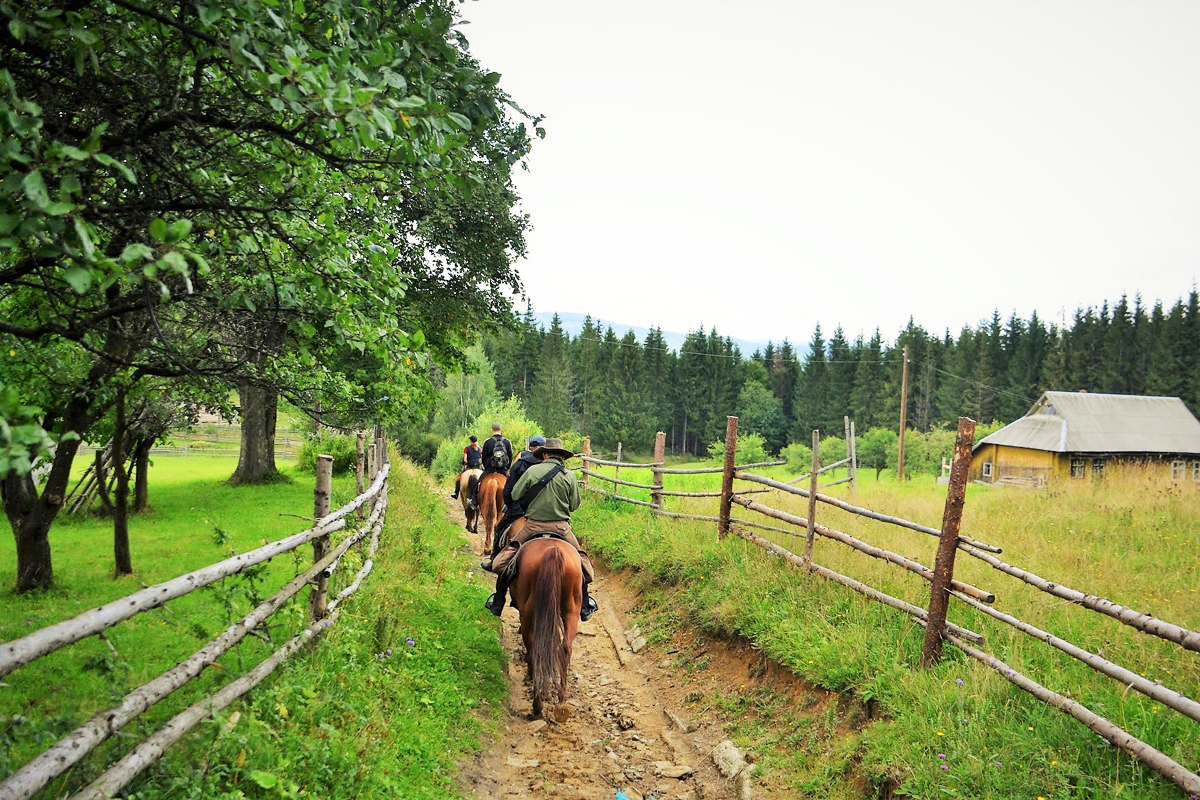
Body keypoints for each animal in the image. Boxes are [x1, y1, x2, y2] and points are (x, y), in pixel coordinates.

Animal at [508, 537, 583, 719]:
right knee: (565, 648)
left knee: (535, 649)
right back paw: (561, 703)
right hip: (572, 608)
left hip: (529, 611)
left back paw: (537, 706)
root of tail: (553, 551)